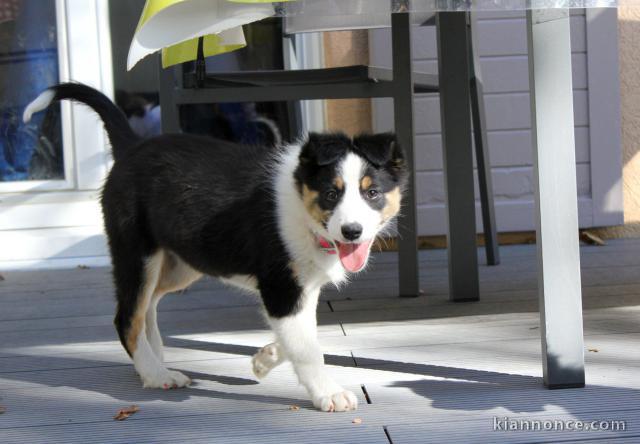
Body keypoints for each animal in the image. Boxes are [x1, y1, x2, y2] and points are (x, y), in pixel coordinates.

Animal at [25, 84, 408, 412]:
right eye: (331, 194)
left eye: (372, 193)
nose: (352, 232)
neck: (302, 202)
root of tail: (133, 146)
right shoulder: (281, 287)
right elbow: (306, 348)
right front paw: (329, 394)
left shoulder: (302, 288)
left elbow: (302, 337)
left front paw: (263, 360)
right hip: (137, 253)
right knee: (126, 317)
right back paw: (157, 374)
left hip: (180, 262)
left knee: (147, 305)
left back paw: (152, 359)